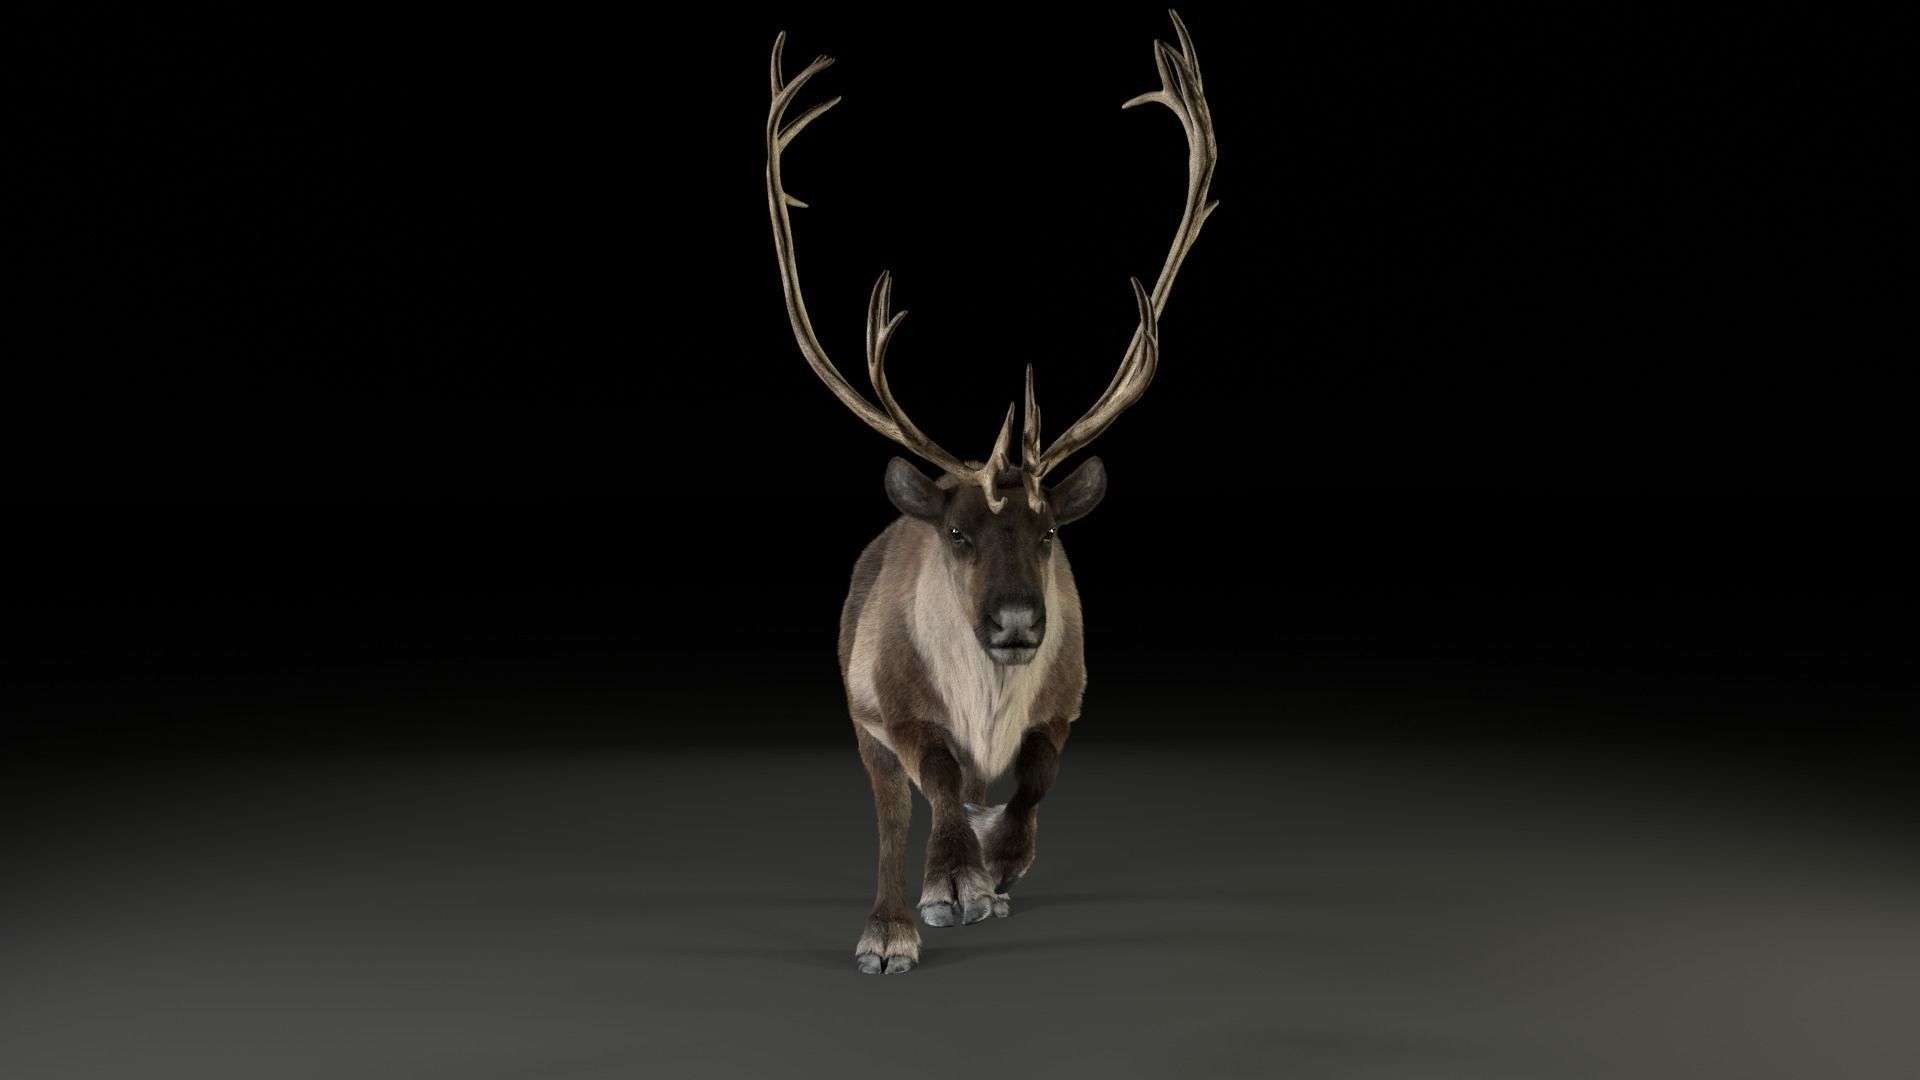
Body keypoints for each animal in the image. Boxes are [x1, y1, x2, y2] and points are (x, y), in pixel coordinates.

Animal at [765, 10, 1219, 974]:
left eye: (1049, 533)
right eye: (958, 534)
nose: (1016, 622)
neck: (987, 707)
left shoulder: (1067, 699)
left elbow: (1037, 776)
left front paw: (999, 860)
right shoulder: (893, 709)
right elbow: (930, 780)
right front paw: (950, 885)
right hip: (859, 712)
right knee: (894, 810)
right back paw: (895, 923)